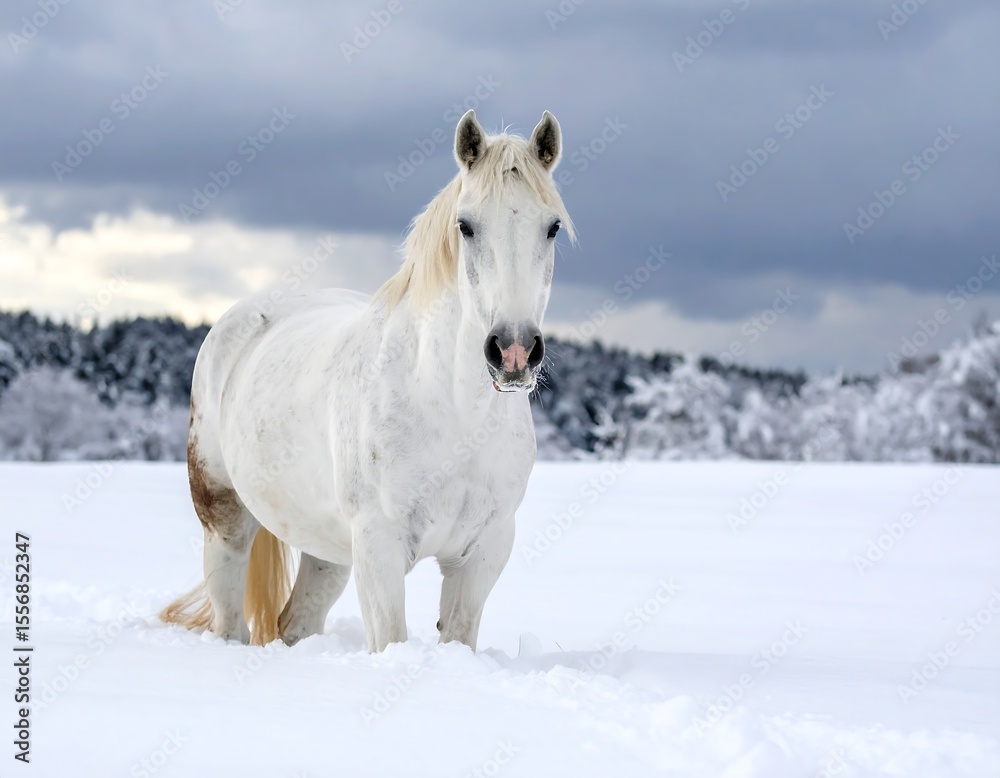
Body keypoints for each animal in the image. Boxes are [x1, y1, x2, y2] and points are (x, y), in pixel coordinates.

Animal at [161, 110, 574, 652]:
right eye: (465, 225)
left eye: (552, 227)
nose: (514, 351)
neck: (454, 413)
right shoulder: (380, 548)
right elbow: (391, 639)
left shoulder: (483, 550)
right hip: (225, 522)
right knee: (230, 621)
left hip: (328, 551)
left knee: (295, 624)